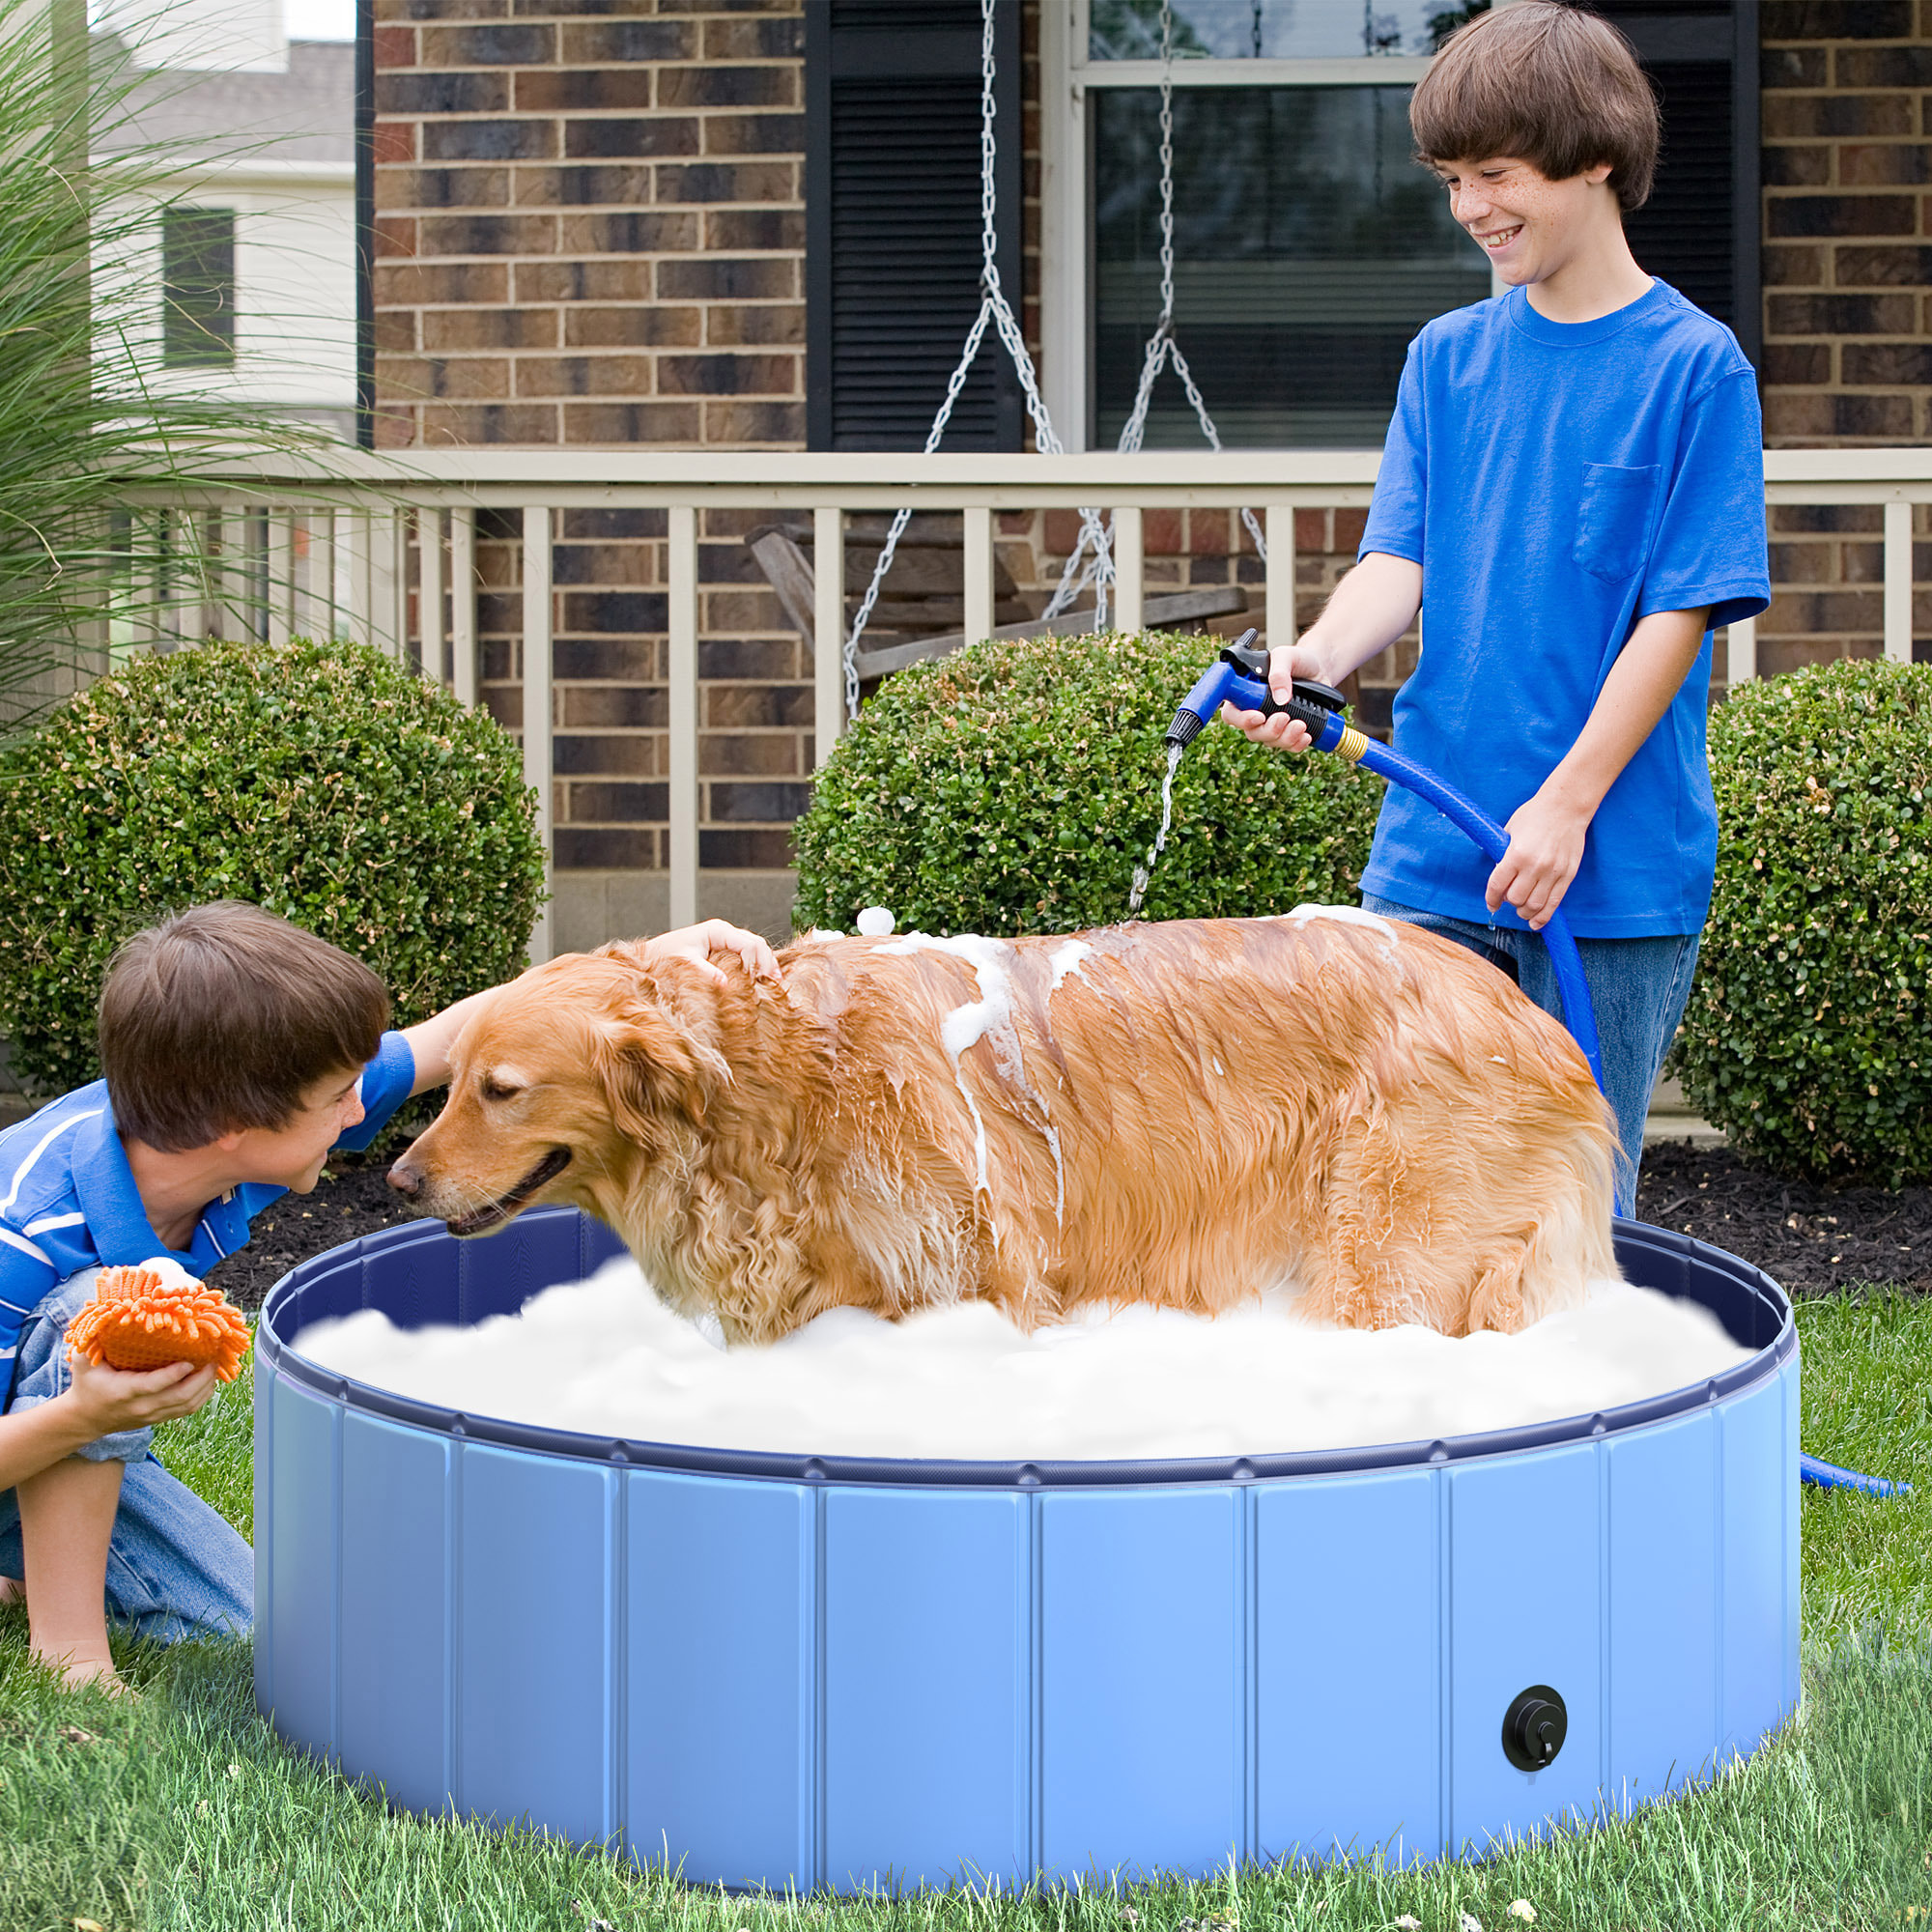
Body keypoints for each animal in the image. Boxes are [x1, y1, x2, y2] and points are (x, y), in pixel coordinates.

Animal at [388, 916, 1615, 1345]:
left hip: (1388, 1254)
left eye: (499, 1089)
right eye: (451, 1085)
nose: (396, 1179)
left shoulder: (977, 1281)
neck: (783, 1081)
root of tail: (1534, 1017)